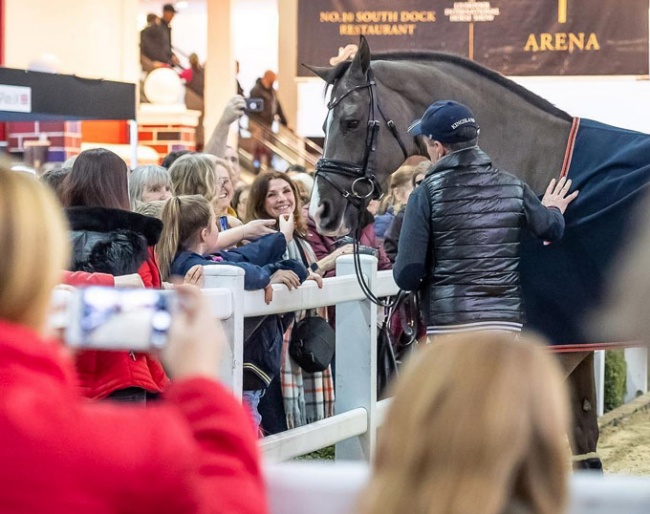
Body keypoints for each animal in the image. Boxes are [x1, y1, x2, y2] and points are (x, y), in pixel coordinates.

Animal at [306, 36, 648, 468]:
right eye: (323, 127)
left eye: (350, 122)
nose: (320, 210)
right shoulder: (574, 339)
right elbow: (584, 445)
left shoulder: (552, 345)